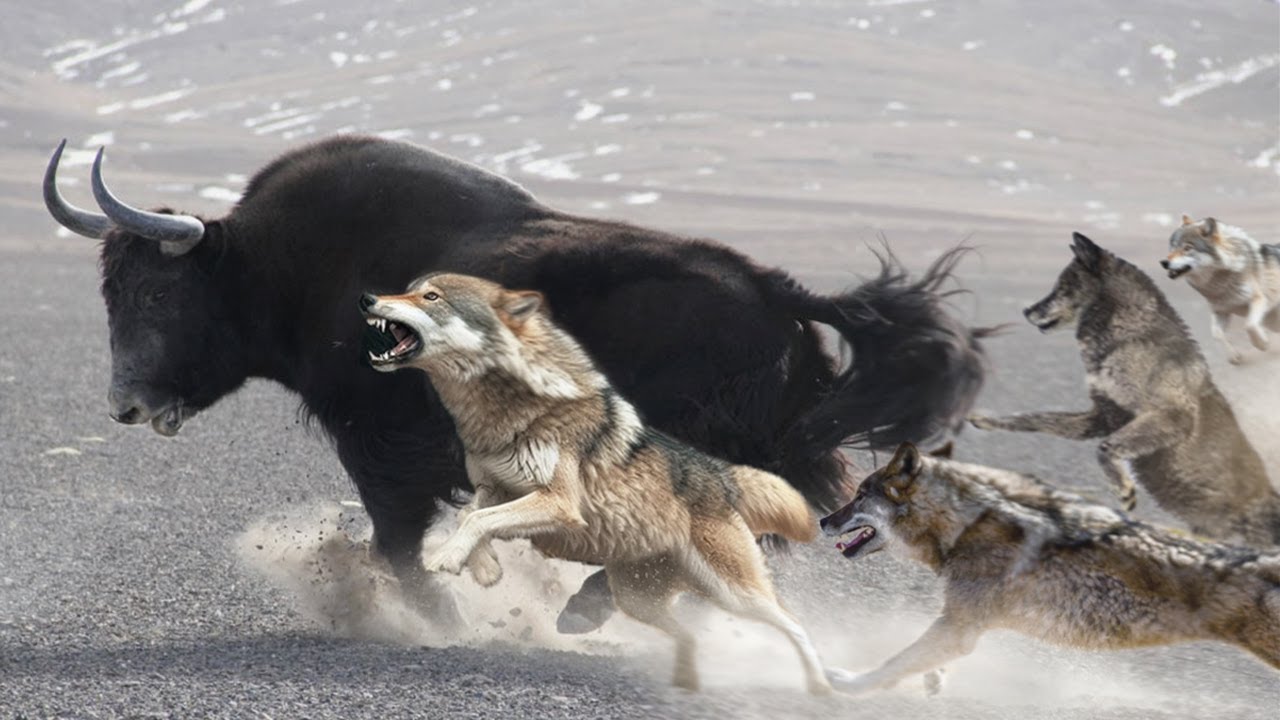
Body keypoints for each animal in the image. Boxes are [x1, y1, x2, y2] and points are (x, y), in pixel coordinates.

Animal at [45, 134, 988, 627]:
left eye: (158, 291)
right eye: (109, 291)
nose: (126, 406)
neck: (272, 267)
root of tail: (777, 291)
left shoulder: (378, 442)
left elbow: (396, 537)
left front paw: (440, 616)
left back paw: (587, 609)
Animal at [360, 271, 834, 691]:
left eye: (431, 297)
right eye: (407, 289)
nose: (367, 298)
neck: (510, 412)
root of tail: (721, 474)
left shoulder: (558, 502)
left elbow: (476, 521)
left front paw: (448, 557)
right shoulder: (494, 488)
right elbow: (472, 517)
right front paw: (484, 568)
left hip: (735, 594)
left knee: (795, 626)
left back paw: (821, 687)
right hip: (638, 599)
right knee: (688, 634)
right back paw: (686, 680)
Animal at [819, 440, 1280, 691]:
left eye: (858, 496)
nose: (823, 521)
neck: (964, 528)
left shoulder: (961, 627)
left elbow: (891, 664)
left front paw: (847, 684)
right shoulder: (958, 625)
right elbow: (917, 658)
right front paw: (934, 680)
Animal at [967, 230, 1280, 543]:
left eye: (1063, 287)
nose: (1026, 310)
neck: (1130, 338)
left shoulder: (1172, 416)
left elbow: (1105, 448)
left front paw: (1125, 490)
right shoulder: (1101, 416)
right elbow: (1034, 418)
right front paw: (988, 420)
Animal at [1162, 210, 1280, 361]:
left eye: (1187, 248)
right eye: (1172, 246)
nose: (1164, 262)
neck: (1220, 285)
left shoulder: (1258, 299)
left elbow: (1250, 325)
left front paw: (1262, 344)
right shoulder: (1220, 311)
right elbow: (1216, 334)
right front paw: (1234, 356)